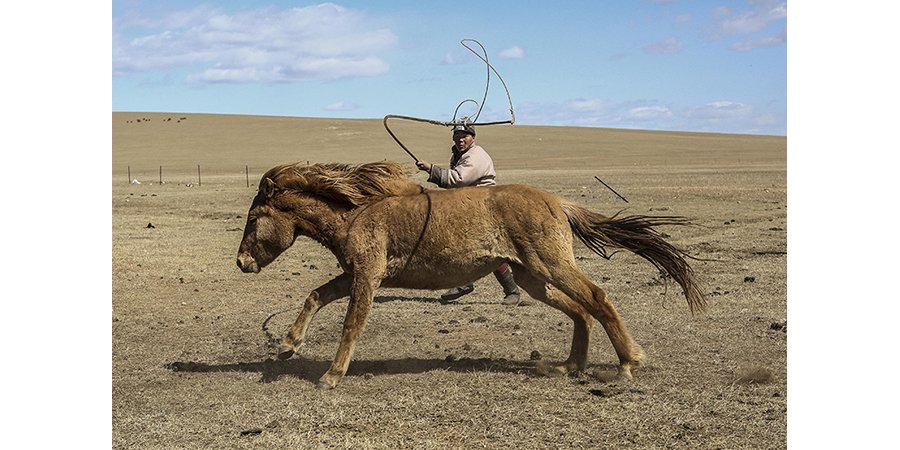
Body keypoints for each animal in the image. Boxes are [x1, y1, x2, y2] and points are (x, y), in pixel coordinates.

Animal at [236, 160, 708, 388]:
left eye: (254, 218)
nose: (241, 263)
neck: (356, 213)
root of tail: (557, 201)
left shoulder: (367, 278)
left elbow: (352, 324)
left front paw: (330, 377)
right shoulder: (355, 275)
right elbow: (315, 296)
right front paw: (287, 345)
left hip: (551, 265)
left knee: (597, 299)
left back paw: (627, 365)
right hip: (533, 276)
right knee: (579, 311)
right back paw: (568, 366)